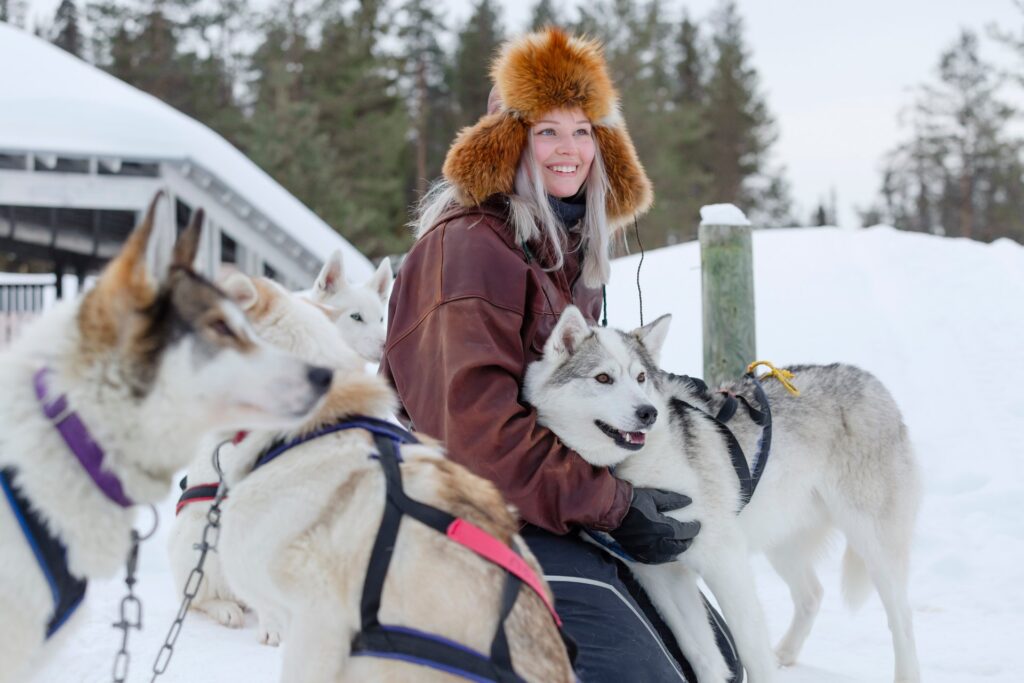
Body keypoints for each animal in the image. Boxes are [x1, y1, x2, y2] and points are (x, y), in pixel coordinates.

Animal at [528, 309, 921, 683]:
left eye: (640, 378)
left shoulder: (724, 561)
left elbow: (749, 651)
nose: (648, 413)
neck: (632, 469)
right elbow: (703, 656)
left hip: (872, 543)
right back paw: (785, 654)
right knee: (812, 594)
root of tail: (869, 380)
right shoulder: (662, 570)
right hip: (779, 541)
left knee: (901, 618)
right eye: (603, 378)